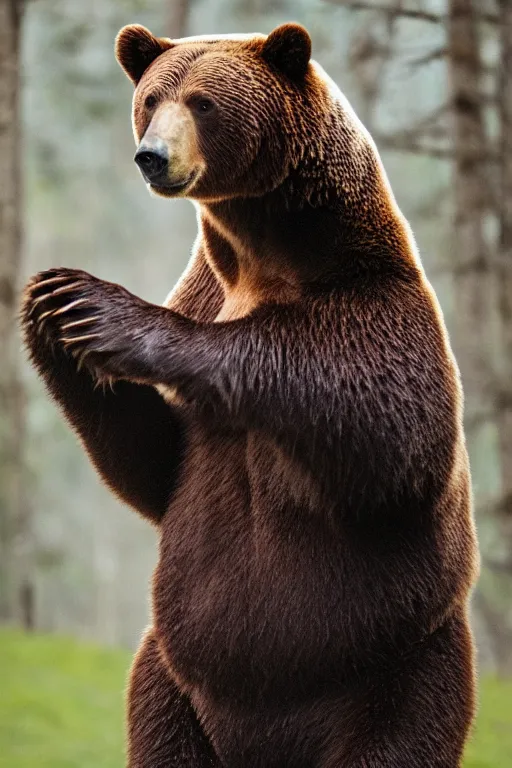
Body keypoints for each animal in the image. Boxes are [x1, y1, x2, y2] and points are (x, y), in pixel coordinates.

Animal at [22, 21, 480, 768]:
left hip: (401, 670)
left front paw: (106, 310)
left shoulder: (384, 310)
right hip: (168, 680)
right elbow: (155, 464)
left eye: (204, 103)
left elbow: (388, 436)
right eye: (151, 99)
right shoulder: (206, 286)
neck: (262, 256)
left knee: (394, 738)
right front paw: (54, 307)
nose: (151, 157)